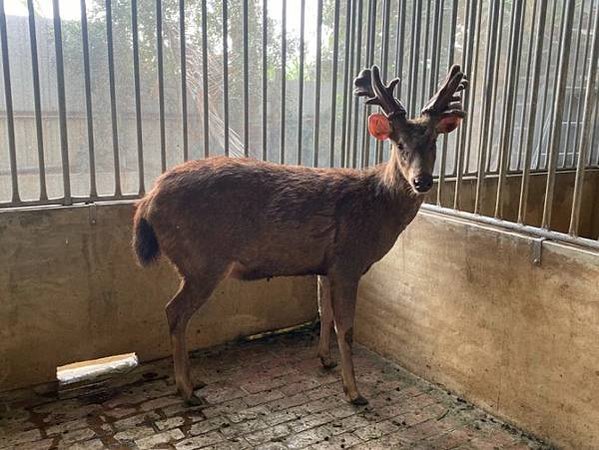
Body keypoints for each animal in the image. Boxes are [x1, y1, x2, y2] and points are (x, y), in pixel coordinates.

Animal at [131, 63, 468, 404]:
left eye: (434, 142)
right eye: (399, 144)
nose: (421, 181)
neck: (377, 209)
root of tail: (147, 201)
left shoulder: (326, 266)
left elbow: (325, 313)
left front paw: (325, 359)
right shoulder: (348, 260)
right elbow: (346, 328)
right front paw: (353, 391)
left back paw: (194, 382)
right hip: (202, 260)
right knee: (175, 311)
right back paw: (187, 390)